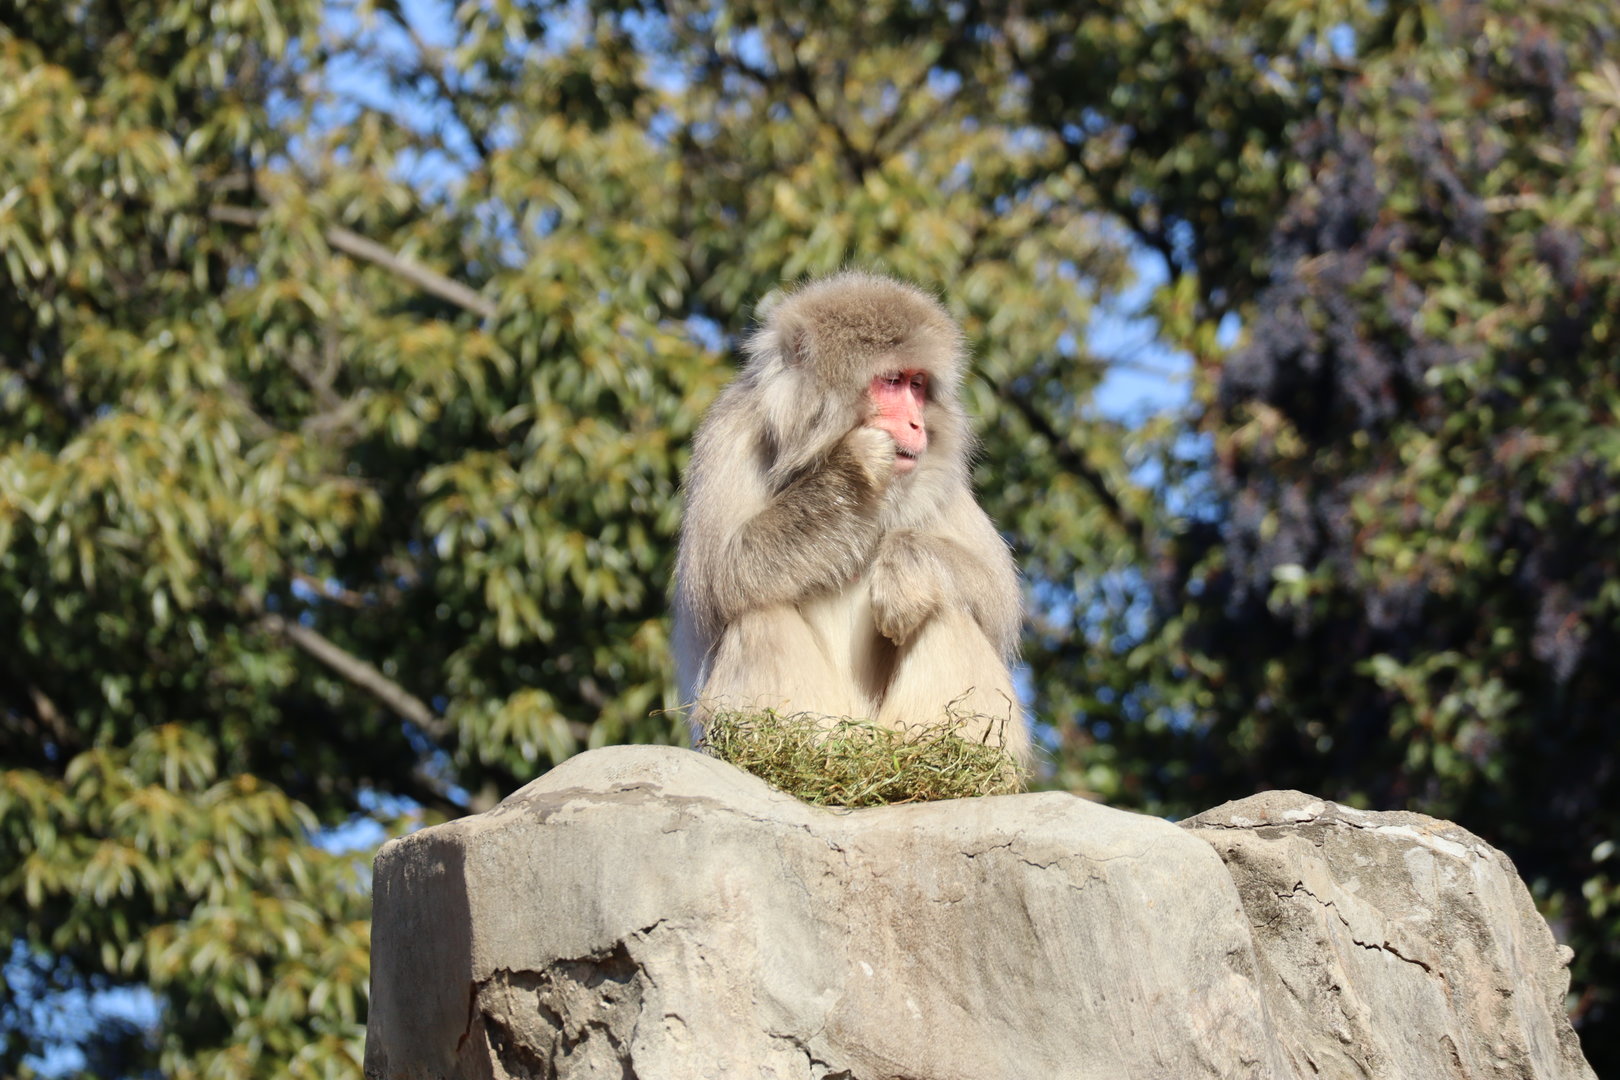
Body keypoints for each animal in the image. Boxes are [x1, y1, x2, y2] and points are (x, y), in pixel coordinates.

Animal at [673, 270, 1028, 764]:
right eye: (893, 381)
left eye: (919, 385)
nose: (917, 424)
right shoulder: (730, 432)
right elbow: (713, 575)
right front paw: (852, 470)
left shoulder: (939, 478)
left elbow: (999, 602)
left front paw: (905, 564)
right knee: (756, 609)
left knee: (947, 607)